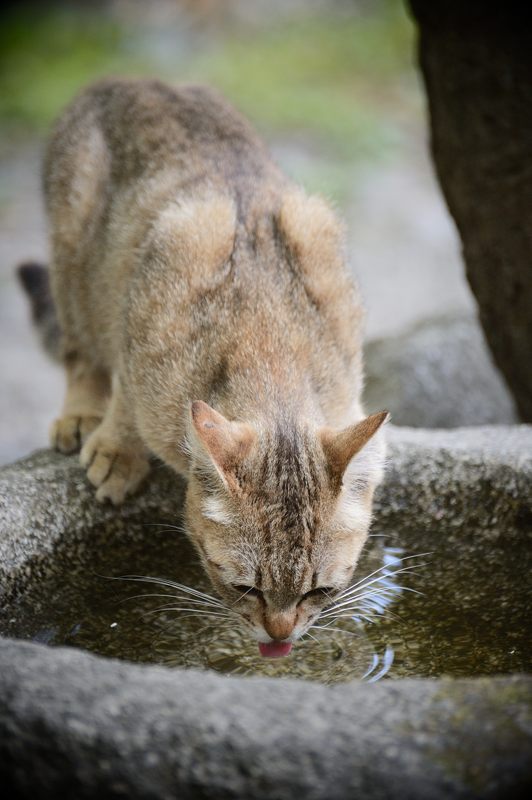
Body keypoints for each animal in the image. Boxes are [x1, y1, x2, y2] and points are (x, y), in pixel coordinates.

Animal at [19, 79, 386, 656]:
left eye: (319, 591)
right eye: (245, 587)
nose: (280, 637)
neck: (269, 342)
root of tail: (127, 80)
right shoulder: (148, 302)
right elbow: (126, 390)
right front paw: (119, 448)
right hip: (73, 259)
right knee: (82, 351)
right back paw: (81, 414)